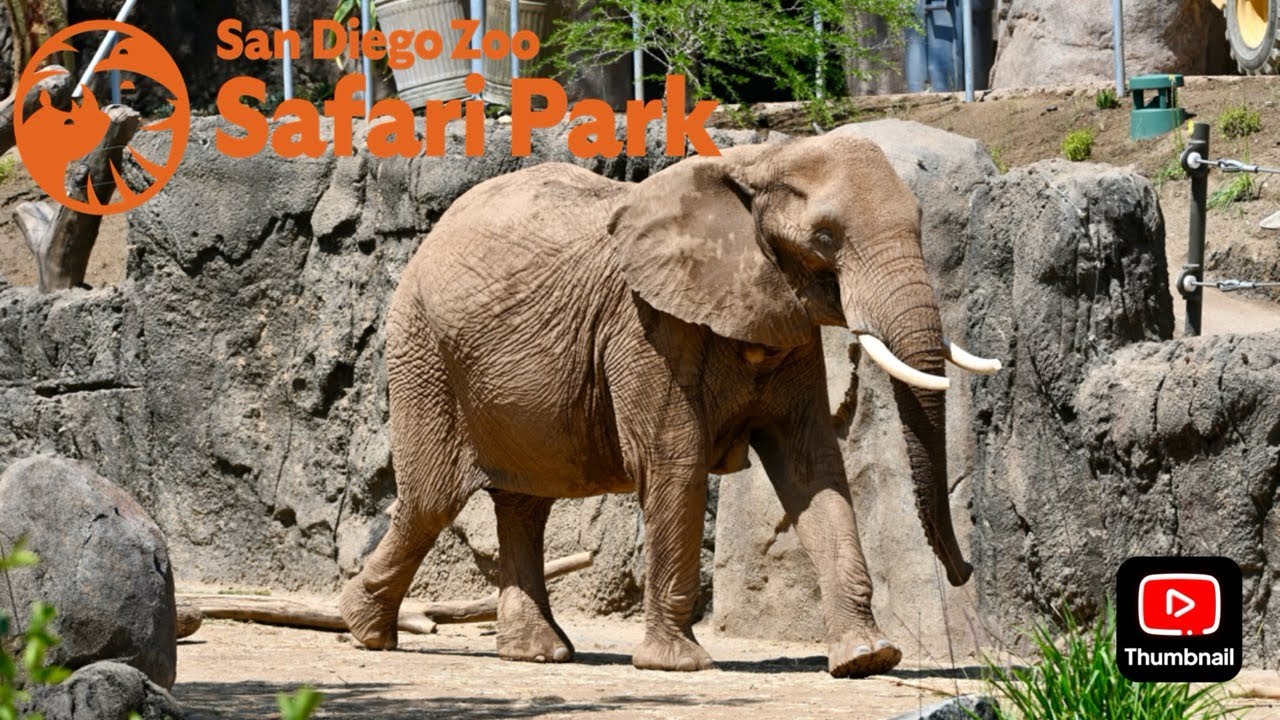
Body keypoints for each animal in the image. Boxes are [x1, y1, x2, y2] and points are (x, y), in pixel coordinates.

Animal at [338, 133, 1000, 678]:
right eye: (824, 239)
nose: (964, 573)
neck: (755, 160)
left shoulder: (784, 319)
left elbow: (813, 469)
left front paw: (868, 658)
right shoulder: (646, 326)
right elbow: (672, 460)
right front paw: (677, 664)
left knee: (525, 503)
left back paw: (537, 652)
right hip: (424, 352)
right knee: (430, 500)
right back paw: (365, 630)